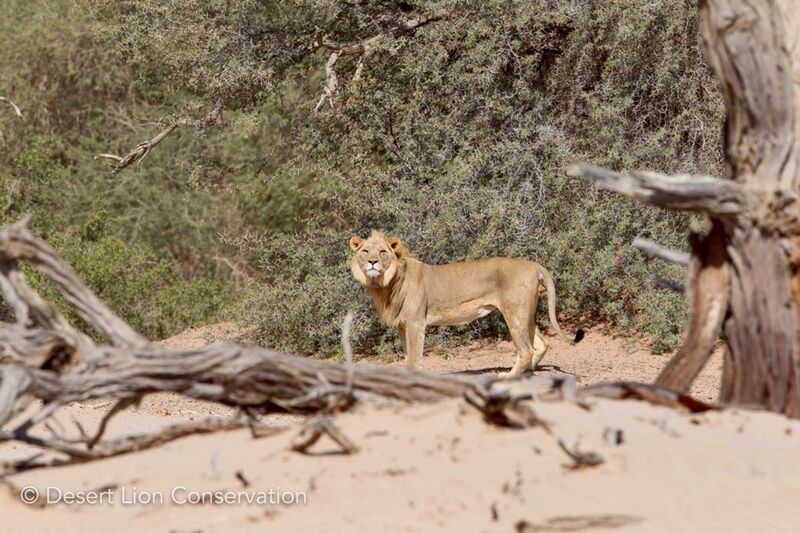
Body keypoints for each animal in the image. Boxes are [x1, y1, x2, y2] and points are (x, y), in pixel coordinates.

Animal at [346, 231, 580, 376]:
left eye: (383, 252)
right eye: (365, 251)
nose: (373, 262)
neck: (384, 285)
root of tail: (534, 265)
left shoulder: (416, 323)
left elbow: (413, 358)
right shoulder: (403, 326)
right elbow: (407, 356)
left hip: (515, 314)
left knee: (526, 350)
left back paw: (508, 376)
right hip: (525, 314)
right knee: (541, 344)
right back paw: (527, 372)